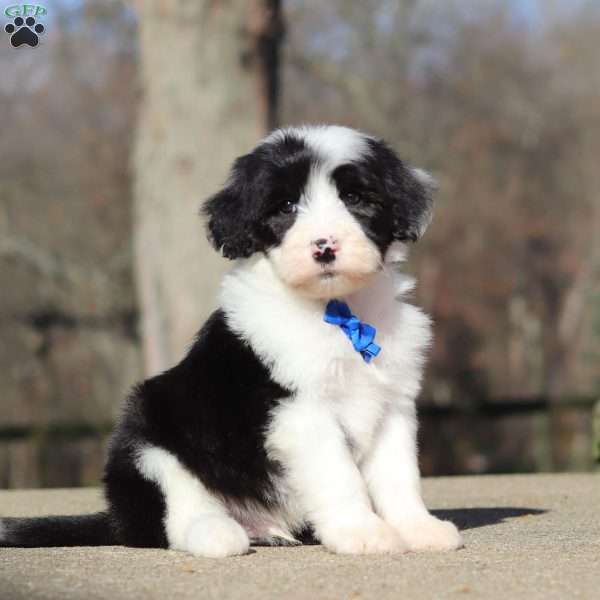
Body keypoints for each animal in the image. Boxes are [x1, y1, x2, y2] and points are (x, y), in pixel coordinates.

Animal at [0, 125, 464, 556]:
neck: (338, 312)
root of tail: (117, 520)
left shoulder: (393, 404)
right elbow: (340, 474)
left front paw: (417, 528)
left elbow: (399, 474)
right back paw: (218, 534)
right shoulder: (300, 411)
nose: (324, 247)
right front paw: (362, 532)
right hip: (147, 434)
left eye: (355, 198)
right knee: (174, 510)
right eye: (286, 206)